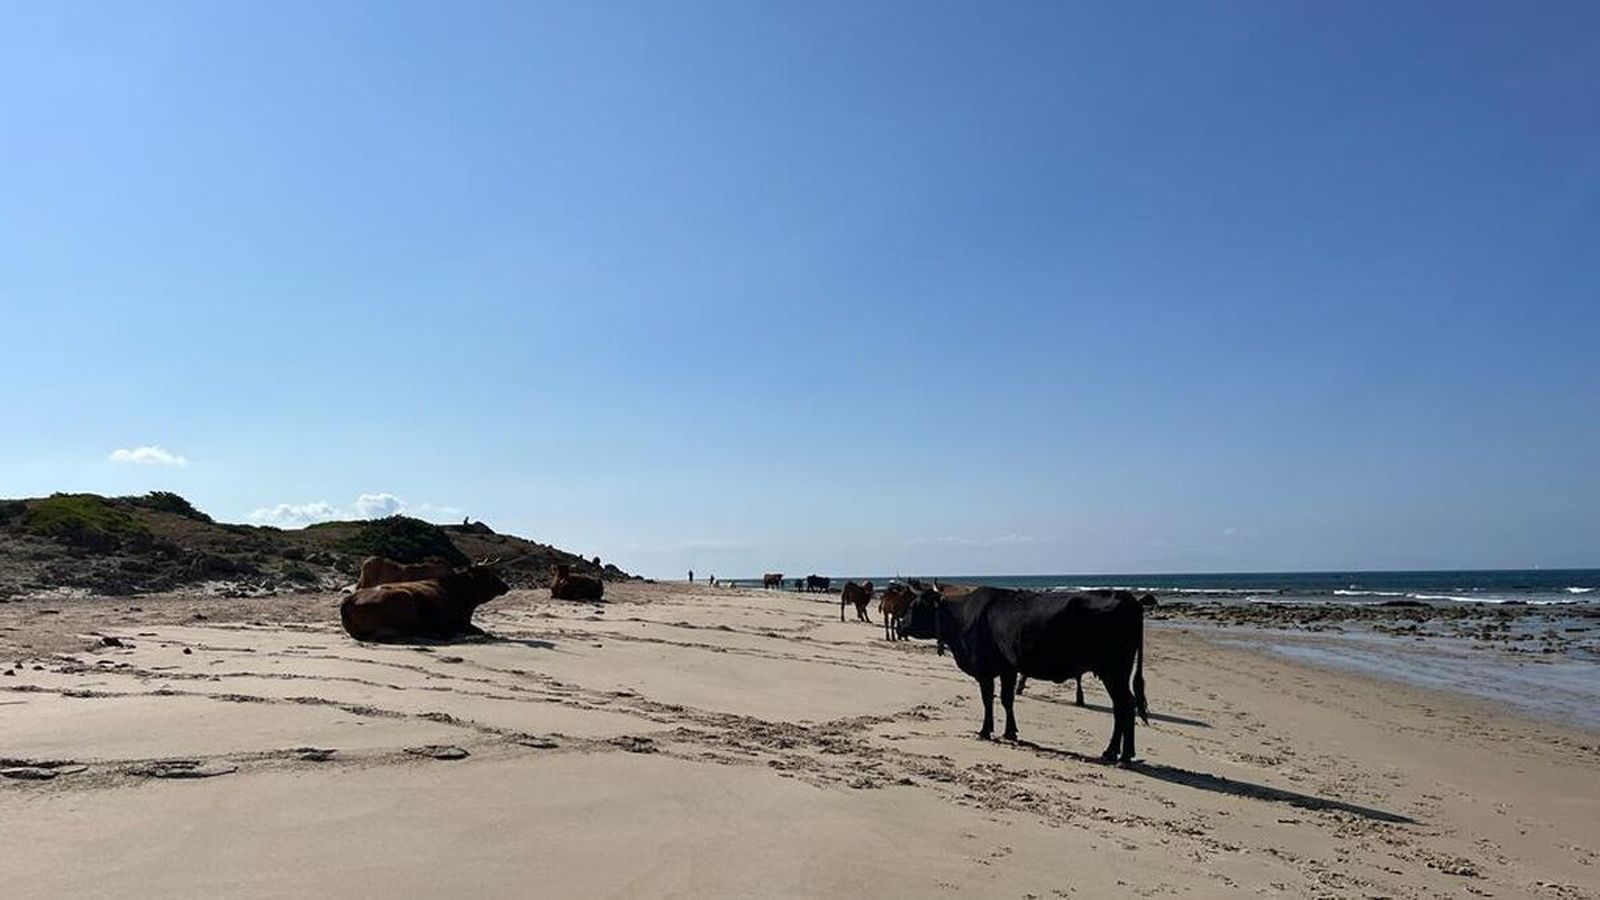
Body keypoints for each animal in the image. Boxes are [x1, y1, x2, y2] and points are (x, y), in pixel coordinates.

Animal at [339, 564, 510, 642]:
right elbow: (482, 631)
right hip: (404, 600)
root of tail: (348, 600)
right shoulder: (460, 623)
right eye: (490, 576)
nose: (506, 586)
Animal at [897, 586, 1150, 763]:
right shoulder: (1008, 668)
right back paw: (1118, 753)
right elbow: (1007, 699)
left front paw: (985, 731)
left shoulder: (985, 669)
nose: (900, 626)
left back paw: (1118, 753)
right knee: (1123, 706)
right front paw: (1010, 732)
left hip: (1114, 671)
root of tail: (1126, 597)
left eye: (914, 606)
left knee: (1125, 705)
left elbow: (988, 699)